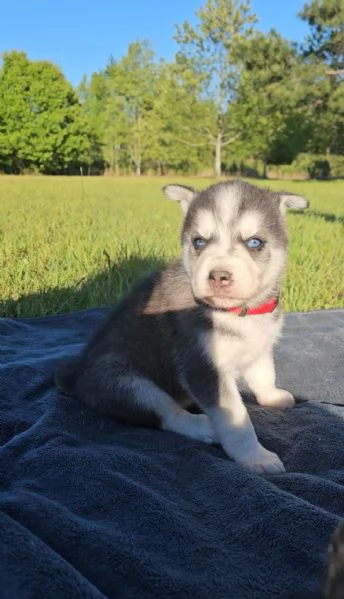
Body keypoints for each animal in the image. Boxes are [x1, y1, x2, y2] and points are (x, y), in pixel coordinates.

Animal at [55, 180, 308, 476]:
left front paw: (273, 397)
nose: (219, 276)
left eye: (254, 242)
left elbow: (264, 374)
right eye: (199, 241)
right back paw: (201, 426)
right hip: (126, 382)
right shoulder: (202, 366)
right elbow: (236, 417)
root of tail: (76, 376)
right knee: (167, 414)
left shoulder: (259, 347)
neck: (237, 313)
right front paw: (255, 456)